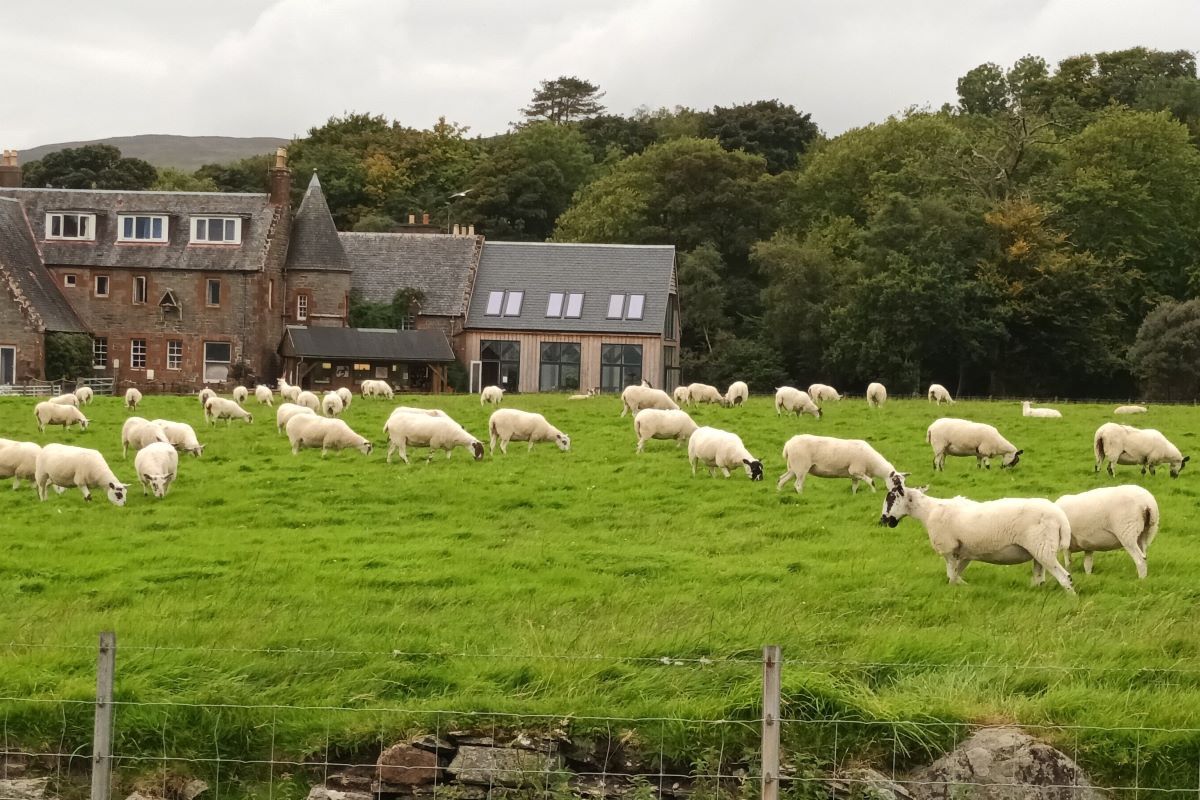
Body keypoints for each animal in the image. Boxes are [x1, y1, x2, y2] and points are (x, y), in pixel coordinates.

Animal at [878, 474, 1075, 594]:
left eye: (891, 497)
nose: (883, 520)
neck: (928, 511)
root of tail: (1061, 518)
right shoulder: (965, 552)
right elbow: (955, 575)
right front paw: (964, 586)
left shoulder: (949, 549)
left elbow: (951, 576)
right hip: (1038, 551)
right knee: (1039, 579)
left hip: (1043, 548)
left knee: (1065, 578)